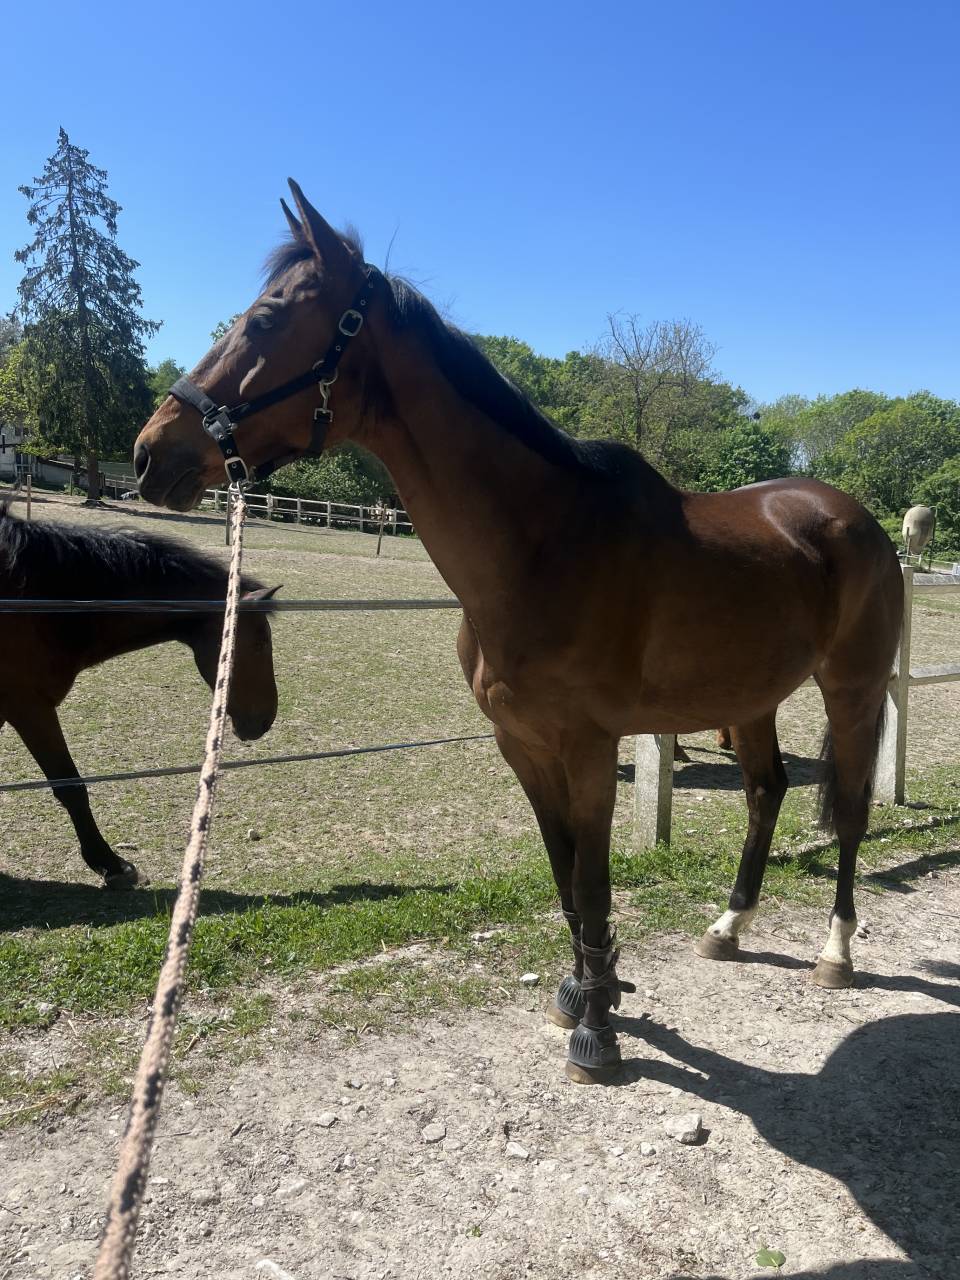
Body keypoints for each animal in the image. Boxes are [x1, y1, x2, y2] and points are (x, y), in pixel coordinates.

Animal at [133, 181, 903, 1084]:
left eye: (263, 321)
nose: (151, 454)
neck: (542, 547)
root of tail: (853, 517)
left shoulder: (588, 749)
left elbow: (594, 884)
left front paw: (600, 1032)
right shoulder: (523, 747)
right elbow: (565, 880)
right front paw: (584, 993)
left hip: (852, 690)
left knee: (848, 811)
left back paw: (835, 953)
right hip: (751, 697)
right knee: (767, 791)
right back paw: (729, 926)